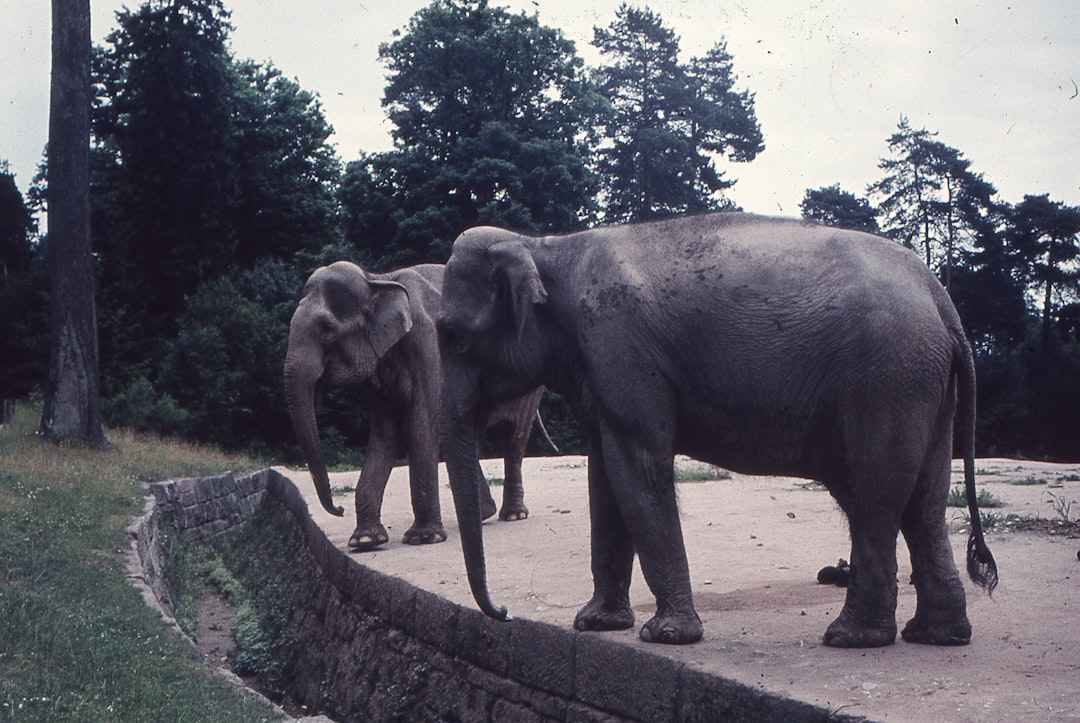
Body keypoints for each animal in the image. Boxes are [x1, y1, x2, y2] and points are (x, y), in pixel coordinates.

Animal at [284, 260, 554, 551]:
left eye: (326, 331)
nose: (339, 510)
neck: (377, 280)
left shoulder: (428, 346)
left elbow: (422, 426)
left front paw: (424, 538)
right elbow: (385, 437)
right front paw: (365, 541)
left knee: (515, 436)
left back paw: (513, 515)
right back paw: (483, 514)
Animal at [436, 212, 998, 647]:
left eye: (452, 336)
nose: (504, 612)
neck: (546, 246)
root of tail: (941, 301)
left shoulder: (619, 346)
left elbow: (638, 466)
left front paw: (666, 636)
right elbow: (604, 478)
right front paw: (596, 625)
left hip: (887, 379)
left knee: (876, 494)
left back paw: (851, 638)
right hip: (922, 383)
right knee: (921, 501)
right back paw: (937, 636)